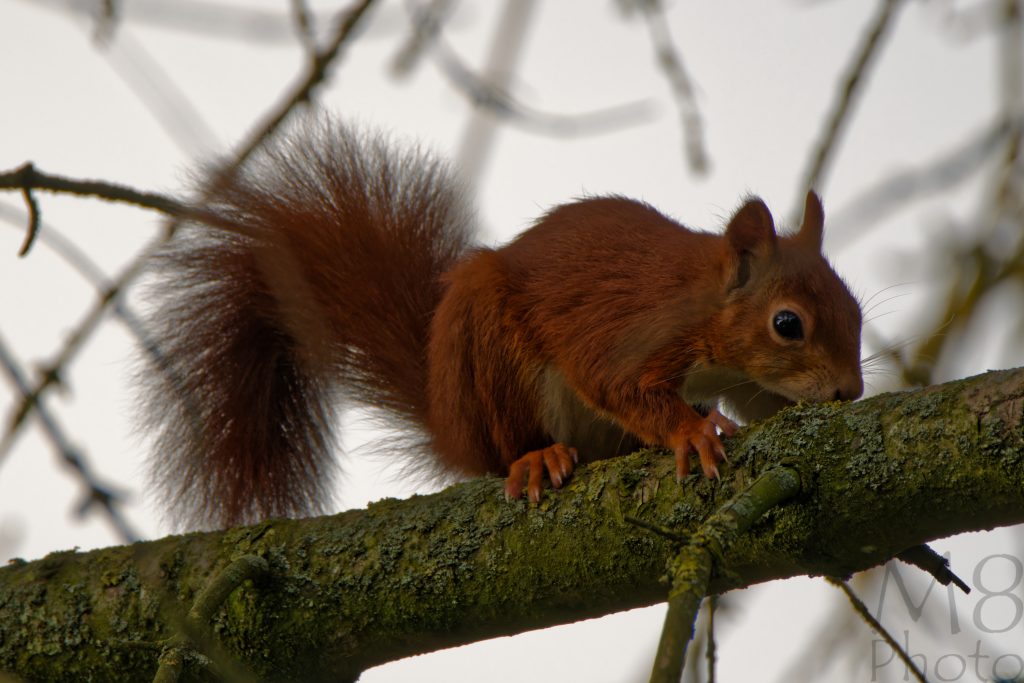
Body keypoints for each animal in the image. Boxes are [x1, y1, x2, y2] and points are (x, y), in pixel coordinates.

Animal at [140, 117, 863, 529]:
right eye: (788, 324)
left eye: (855, 310)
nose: (848, 392)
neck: (705, 305)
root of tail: (451, 422)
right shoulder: (631, 334)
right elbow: (617, 383)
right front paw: (691, 428)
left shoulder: (740, 377)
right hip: (489, 354)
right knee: (508, 445)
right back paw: (536, 457)